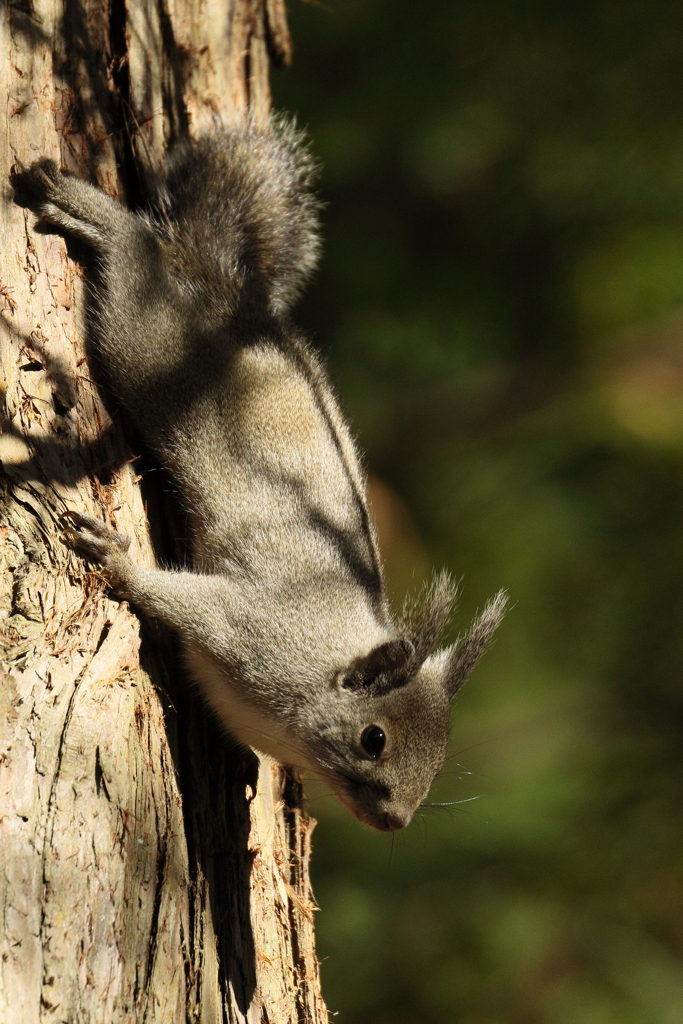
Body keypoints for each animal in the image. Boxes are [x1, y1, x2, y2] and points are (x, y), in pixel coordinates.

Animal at [12, 114, 507, 831]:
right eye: (374, 738)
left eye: (440, 765)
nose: (396, 821)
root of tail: (236, 305)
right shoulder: (249, 630)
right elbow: (174, 596)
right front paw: (118, 559)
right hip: (153, 349)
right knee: (136, 265)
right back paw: (97, 216)